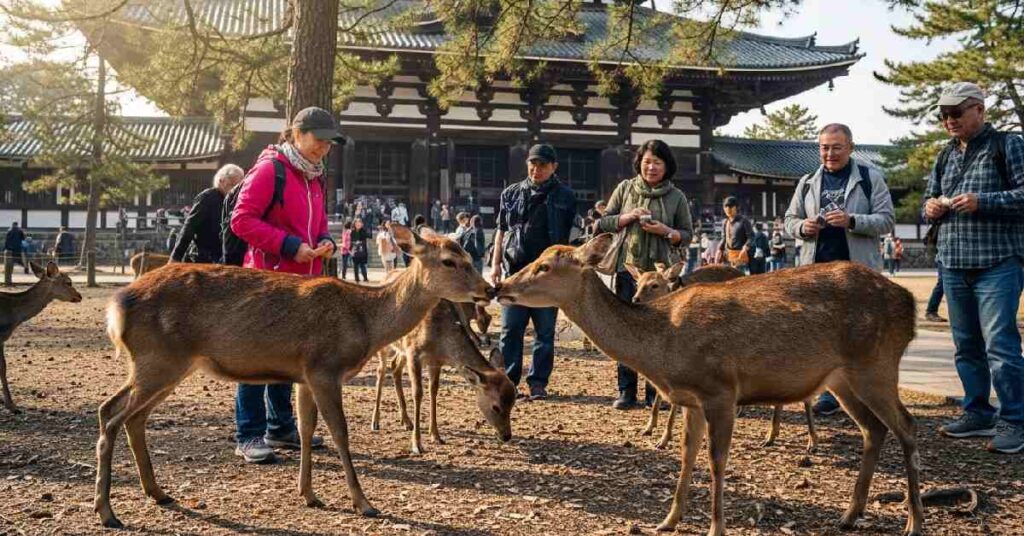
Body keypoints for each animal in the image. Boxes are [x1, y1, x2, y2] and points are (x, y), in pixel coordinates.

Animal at [0, 262, 82, 413]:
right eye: (68, 282)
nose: (80, 296)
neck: (13, 314)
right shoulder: (0, 337)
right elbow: (3, 367)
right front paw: (12, 406)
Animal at [94, 225, 495, 529]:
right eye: (450, 261)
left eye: (469, 256)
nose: (489, 288)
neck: (365, 322)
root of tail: (116, 306)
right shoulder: (324, 367)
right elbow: (339, 432)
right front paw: (363, 503)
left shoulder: (303, 374)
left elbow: (305, 429)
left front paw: (309, 495)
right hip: (158, 360)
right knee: (110, 413)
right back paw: (107, 511)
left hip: (166, 366)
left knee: (130, 417)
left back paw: (157, 493)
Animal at [370, 301, 514, 455]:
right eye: (496, 407)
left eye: (512, 403)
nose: (507, 436)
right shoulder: (413, 352)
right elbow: (418, 394)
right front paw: (417, 445)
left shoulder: (436, 361)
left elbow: (433, 391)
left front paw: (436, 436)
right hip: (383, 340)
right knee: (381, 370)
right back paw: (375, 422)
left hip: (401, 349)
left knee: (395, 367)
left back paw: (407, 421)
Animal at [629, 263, 818, 453]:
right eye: (637, 283)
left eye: (655, 285)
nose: (635, 299)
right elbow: (658, 398)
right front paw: (648, 428)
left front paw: (664, 439)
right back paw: (769, 434)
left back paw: (811, 442)